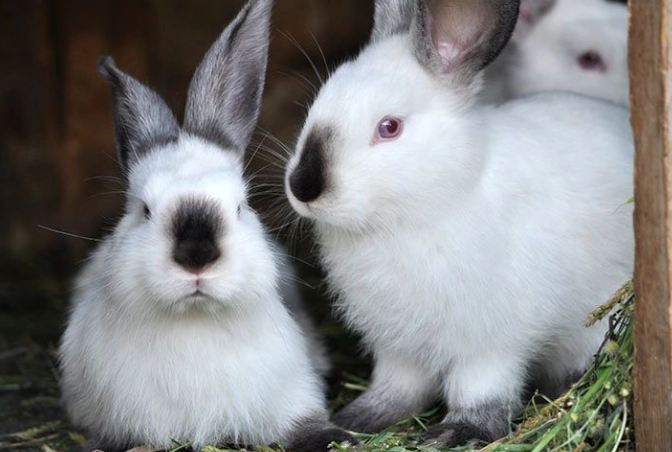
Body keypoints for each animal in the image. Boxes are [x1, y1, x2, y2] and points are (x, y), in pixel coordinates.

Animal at [57, 1, 351, 451]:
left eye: (241, 206)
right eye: (143, 209)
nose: (197, 256)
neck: (194, 322)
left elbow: (305, 424)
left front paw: (336, 437)